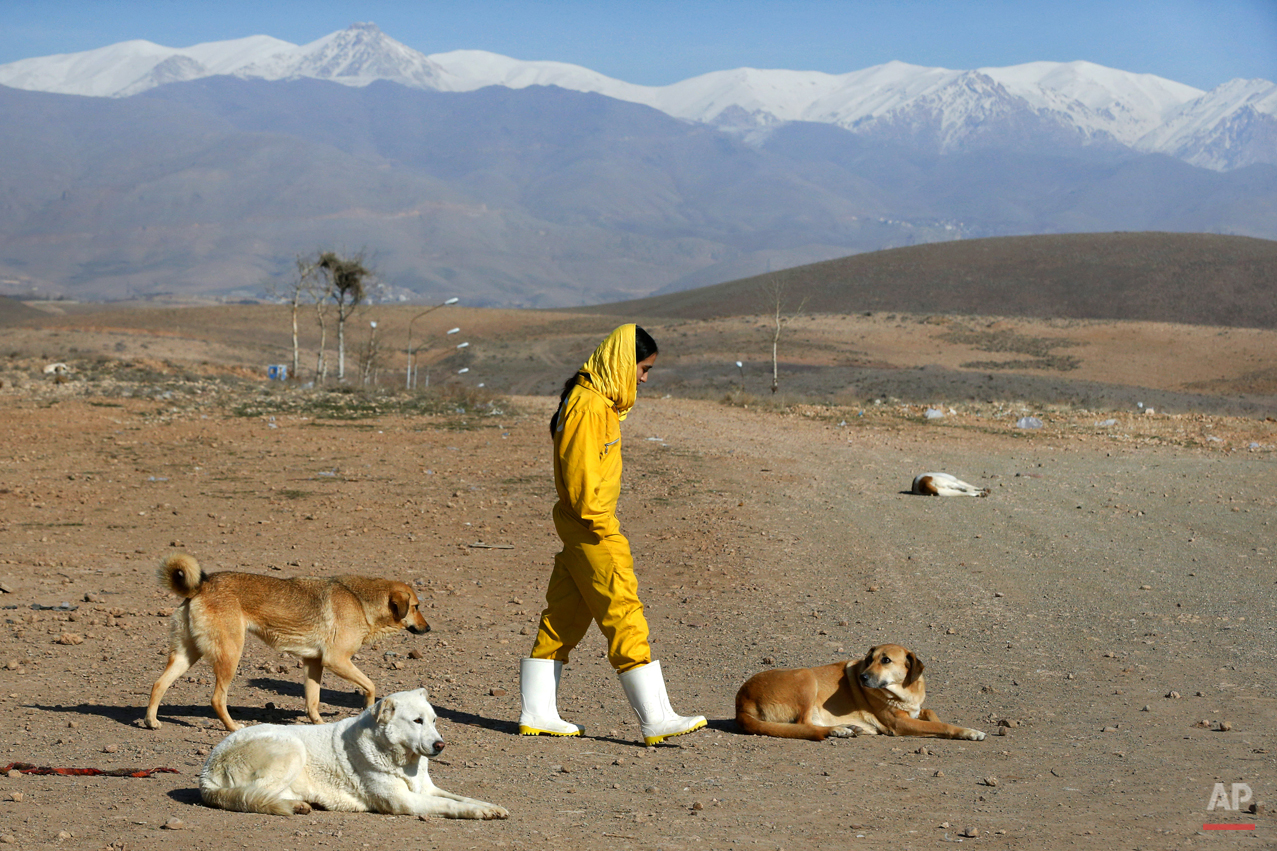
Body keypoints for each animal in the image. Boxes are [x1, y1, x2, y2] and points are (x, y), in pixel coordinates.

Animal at [146, 549, 429, 730]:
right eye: (416, 607)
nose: (428, 628)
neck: (359, 600)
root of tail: (201, 586)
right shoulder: (336, 660)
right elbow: (370, 686)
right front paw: (368, 709)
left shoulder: (314, 663)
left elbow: (313, 701)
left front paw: (318, 724)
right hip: (230, 655)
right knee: (217, 699)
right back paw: (233, 727)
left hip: (187, 655)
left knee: (159, 684)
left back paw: (151, 721)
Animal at [201, 684, 505, 817]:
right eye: (417, 721)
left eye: (434, 721)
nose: (440, 745)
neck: (400, 759)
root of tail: (207, 773)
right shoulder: (404, 801)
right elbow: (451, 805)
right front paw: (480, 813)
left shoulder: (426, 789)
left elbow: (462, 798)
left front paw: (492, 807)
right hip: (292, 748)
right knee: (256, 795)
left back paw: (299, 804)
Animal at [740, 638, 985, 741]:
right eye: (869, 659)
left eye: (885, 660)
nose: (862, 677)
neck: (904, 692)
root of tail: (741, 701)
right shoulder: (900, 723)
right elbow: (941, 725)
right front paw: (968, 732)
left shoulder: (915, 711)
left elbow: (931, 714)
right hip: (807, 677)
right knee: (804, 724)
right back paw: (838, 730)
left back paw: (847, 728)